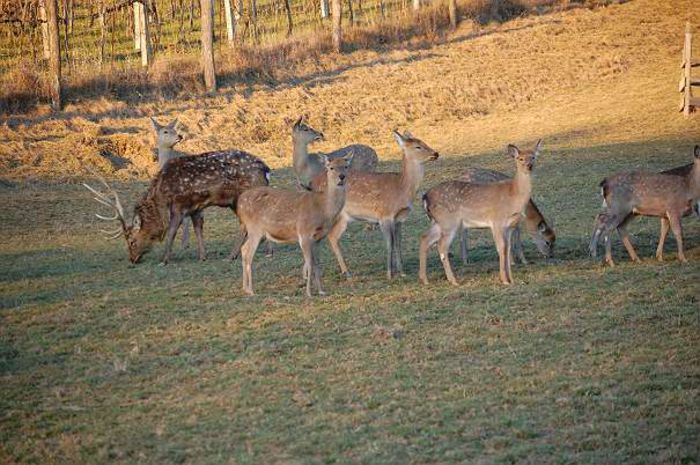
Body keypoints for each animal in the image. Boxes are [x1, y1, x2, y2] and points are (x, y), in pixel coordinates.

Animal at [86, 150, 272, 262]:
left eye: (131, 241)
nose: (132, 259)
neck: (162, 194)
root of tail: (266, 169)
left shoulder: (179, 204)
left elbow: (171, 231)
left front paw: (164, 259)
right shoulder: (195, 207)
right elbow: (198, 229)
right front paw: (202, 256)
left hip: (243, 196)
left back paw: (234, 255)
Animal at [237, 154, 356, 296]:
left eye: (346, 166)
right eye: (331, 167)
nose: (342, 176)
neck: (323, 208)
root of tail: (239, 204)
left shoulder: (319, 238)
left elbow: (317, 263)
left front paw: (321, 291)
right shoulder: (304, 233)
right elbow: (309, 263)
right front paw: (309, 293)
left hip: (256, 232)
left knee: (243, 249)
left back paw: (244, 288)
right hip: (255, 229)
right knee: (249, 254)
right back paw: (251, 290)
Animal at [310, 129, 438, 278]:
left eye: (424, 142)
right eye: (418, 146)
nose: (435, 153)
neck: (401, 188)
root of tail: (313, 182)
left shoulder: (400, 218)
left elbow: (398, 243)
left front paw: (402, 272)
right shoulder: (384, 215)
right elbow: (389, 244)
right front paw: (389, 274)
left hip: (343, 217)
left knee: (332, 237)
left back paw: (346, 272)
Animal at [418, 140, 544, 286]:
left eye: (533, 157)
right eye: (520, 158)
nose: (529, 166)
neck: (513, 196)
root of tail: (425, 197)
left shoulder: (509, 226)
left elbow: (507, 248)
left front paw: (511, 279)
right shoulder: (496, 221)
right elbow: (501, 248)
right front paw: (504, 280)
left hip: (438, 222)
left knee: (425, 238)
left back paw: (425, 279)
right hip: (449, 221)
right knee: (442, 246)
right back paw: (454, 281)